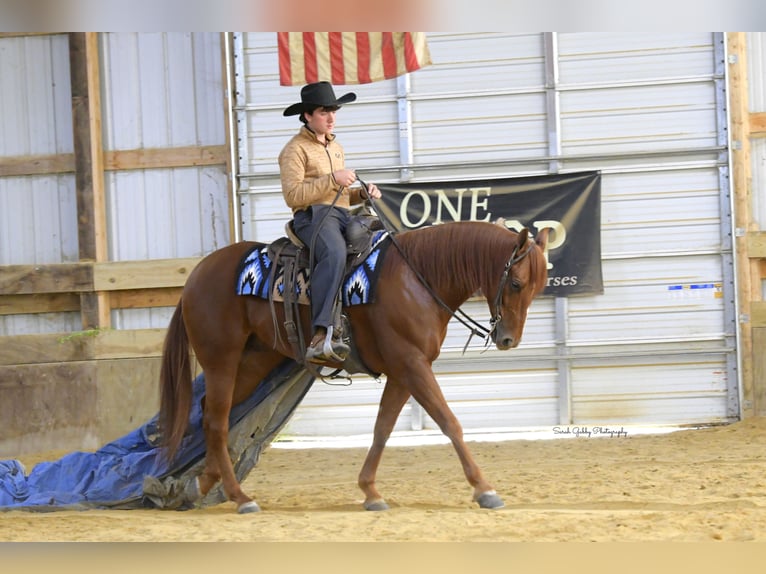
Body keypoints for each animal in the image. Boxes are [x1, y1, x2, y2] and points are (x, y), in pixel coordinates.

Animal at [159, 220, 549, 513]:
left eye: (539, 286)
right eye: (516, 283)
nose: (508, 339)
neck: (417, 277)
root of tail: (196, 275)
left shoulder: (404, 371)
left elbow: (382, 428)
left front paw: (370, 491)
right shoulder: (412, 365)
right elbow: (449, 422)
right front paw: (484, 489)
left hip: (253, 362)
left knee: (212, 416)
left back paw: (204, 483)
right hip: (221, 360)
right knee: (216, 421)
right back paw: (240, 497)